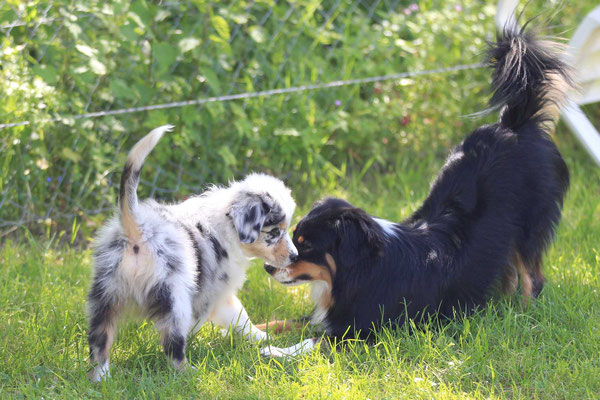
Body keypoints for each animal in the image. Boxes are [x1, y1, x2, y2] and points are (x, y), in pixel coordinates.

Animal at [86, 126, 298, 382]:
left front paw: (263, 338)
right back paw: (190, 373)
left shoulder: (220, 296)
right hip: (176, 296)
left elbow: (240, 317)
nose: (295, 256)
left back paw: (101, 377)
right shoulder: (214, 292)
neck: (227, 226)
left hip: (105, 296)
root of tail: (137, 229)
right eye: (275, 232)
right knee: (173, 345)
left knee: (100, 340)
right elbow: (233, 316)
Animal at [262, 25, 572, 356]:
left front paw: (274, 352)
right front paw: (250, 331)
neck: (362, 270)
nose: (267, 268)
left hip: (529, 229)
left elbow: (311, 342)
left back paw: (522, 316)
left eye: (306, 245)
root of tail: (513, 123)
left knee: (532, 278)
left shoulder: (365, 331)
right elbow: (287, 321)